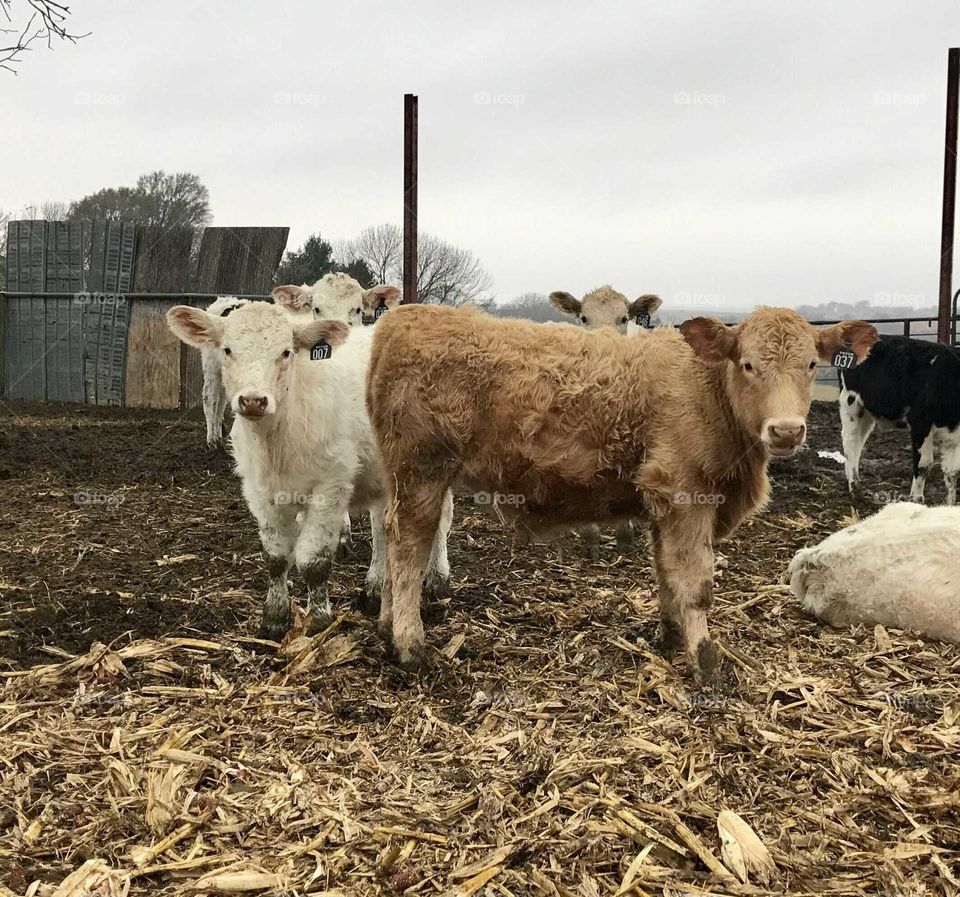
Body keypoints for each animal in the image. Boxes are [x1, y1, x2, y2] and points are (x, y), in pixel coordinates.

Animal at [167, 301, 452, 641]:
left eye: (286, 352)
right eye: (227, 349)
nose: (253, 400)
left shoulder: (331, 486)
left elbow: (313, 561)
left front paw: (318, 620)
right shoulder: (259, 491)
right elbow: (275, 558)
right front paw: (274, 618)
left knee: (441, 518)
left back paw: (437, 578)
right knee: (381, 527)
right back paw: (373, 589)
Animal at [839, 335, 960, 504]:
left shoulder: (955, 436)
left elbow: (952, 473)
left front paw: (950, 505)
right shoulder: (920, 423)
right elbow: (923, 466)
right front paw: (916, 500)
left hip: (866, 413)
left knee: (858, 444)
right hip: (850, 404)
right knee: (850, 442)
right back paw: (855, 490)